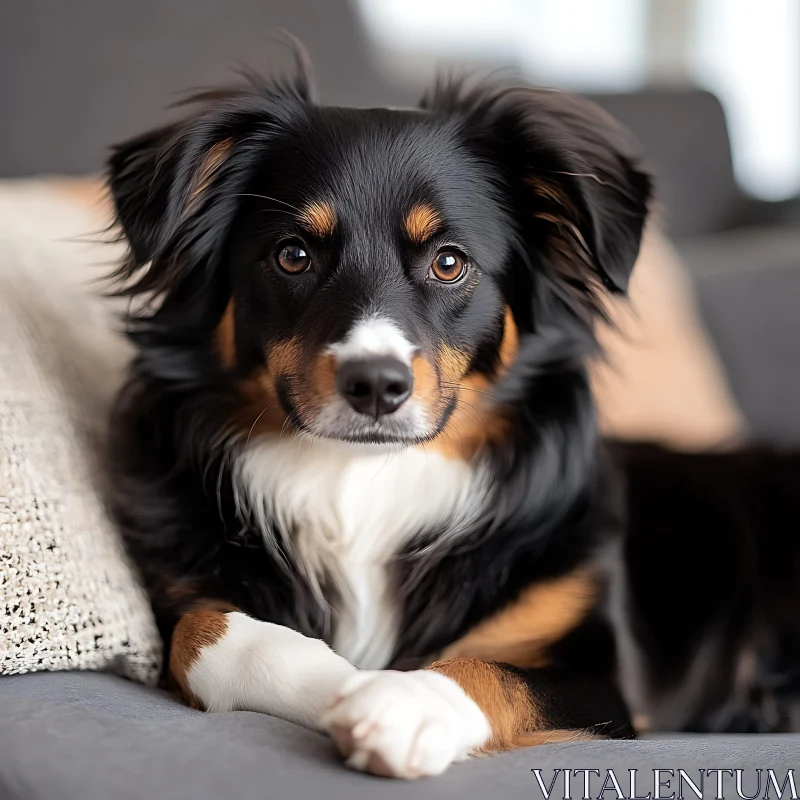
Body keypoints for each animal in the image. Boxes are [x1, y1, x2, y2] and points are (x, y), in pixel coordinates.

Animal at [104, 64, 800, 780]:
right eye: (293, 255)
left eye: (448, 262)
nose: (375, 386)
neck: (365, 482)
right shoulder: (184, 595)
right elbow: (202, 631)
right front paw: (341, 680)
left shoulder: (598, 677)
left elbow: (487, 669)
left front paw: (401, 703)